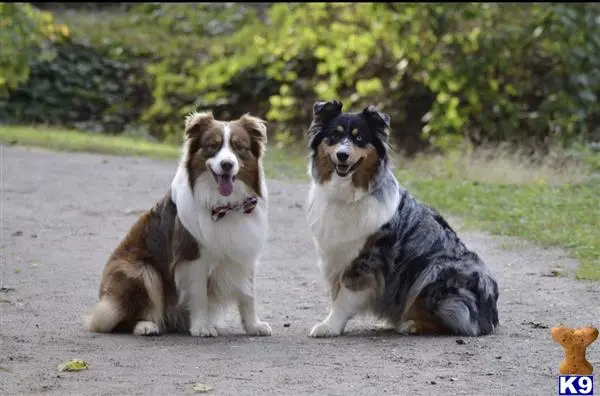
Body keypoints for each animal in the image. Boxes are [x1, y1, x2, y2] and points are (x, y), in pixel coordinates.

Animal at [85, 112, 272, 338]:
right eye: (213, 145)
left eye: (239, 147)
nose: (227, 164)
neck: (227, 207)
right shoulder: (193, 256)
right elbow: (199, 295)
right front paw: (201, 326)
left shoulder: (245, 252)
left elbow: (248, 296)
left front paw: (254, 326)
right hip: (140, 270)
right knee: (119, 317)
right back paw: (146, 325)